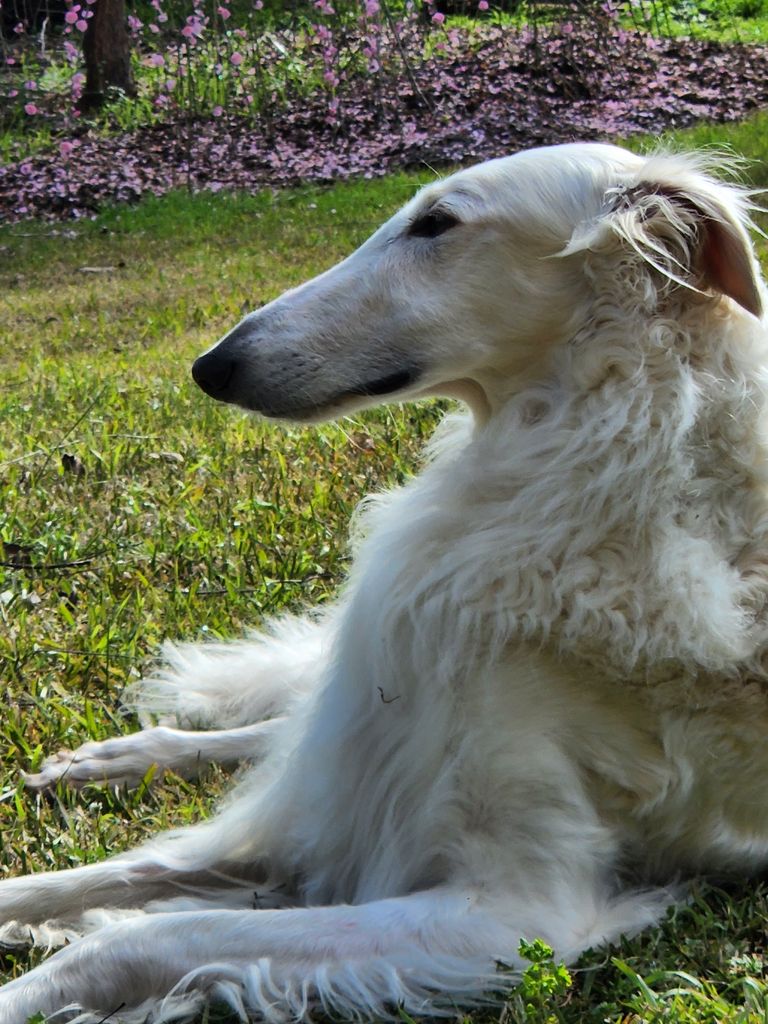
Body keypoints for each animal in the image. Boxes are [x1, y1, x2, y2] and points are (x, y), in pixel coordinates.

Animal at [1, 144, 768, 1024]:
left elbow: (139, 935)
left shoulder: (510, 910)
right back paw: (113, 758)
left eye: (437, 223)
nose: (210, 366)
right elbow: (107, 878)